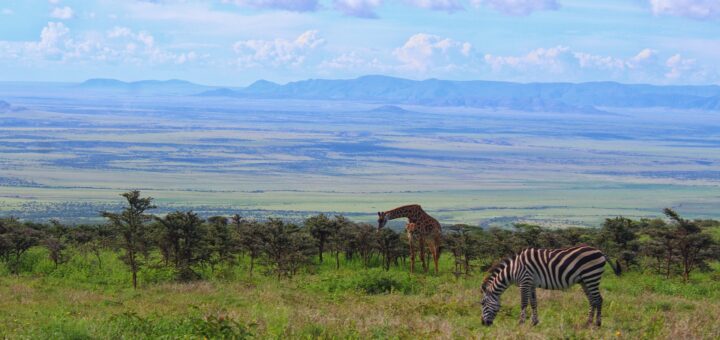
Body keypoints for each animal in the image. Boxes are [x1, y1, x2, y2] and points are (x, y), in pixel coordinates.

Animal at [478, 244, 620, 326]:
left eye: (483, 303)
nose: (483, 324)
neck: (513, 269)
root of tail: (599, 251)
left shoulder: (525, 281)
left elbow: (523, 303)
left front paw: (521, 323)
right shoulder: (531, 284)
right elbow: (533, 303)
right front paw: (534, 322)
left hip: (591, 276)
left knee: (598, 299)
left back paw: (597, 323)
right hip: (585, 280)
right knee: (592, 300)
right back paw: (587, 323)